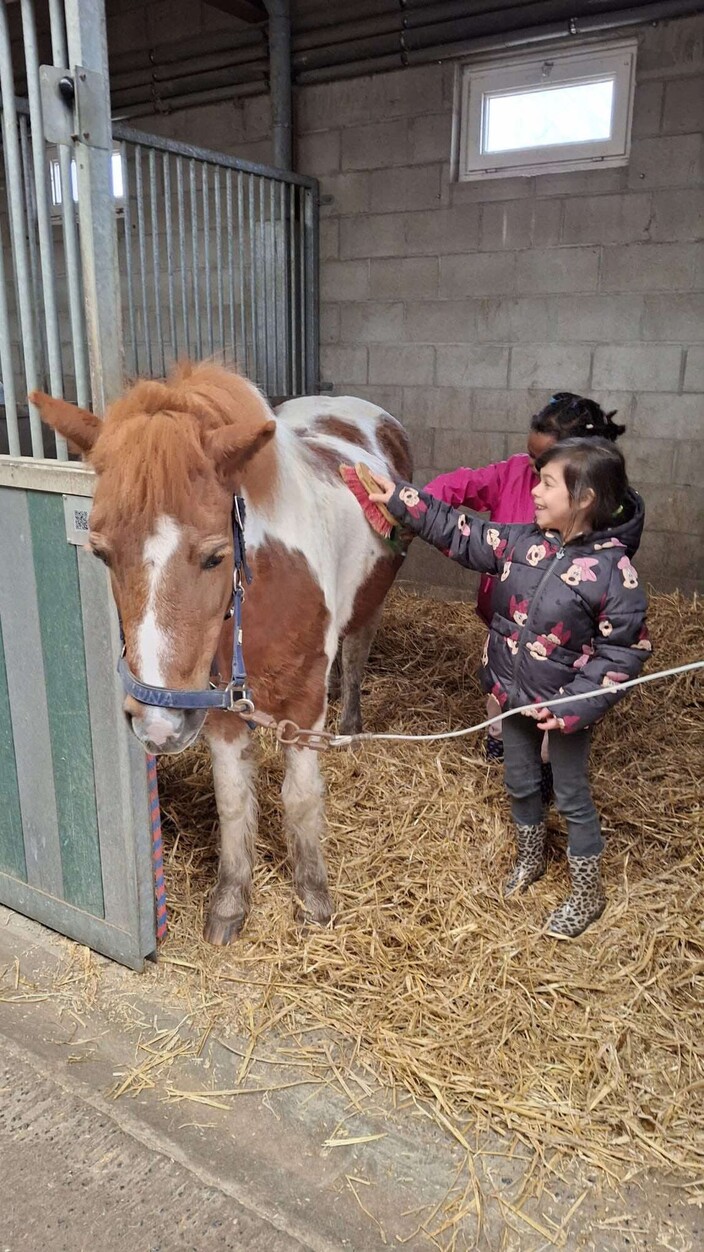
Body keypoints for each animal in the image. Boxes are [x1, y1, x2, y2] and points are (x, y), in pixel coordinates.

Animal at [32, 365, 413, 941]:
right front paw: (231, 902)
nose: (157, 725)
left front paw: (313, 897)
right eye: (101, 554)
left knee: (355, 656)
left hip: (372, 601)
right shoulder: (218, 709)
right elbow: (233, 801)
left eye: (214, 556)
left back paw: (350, 727)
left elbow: (301, 798)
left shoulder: (304, 703)